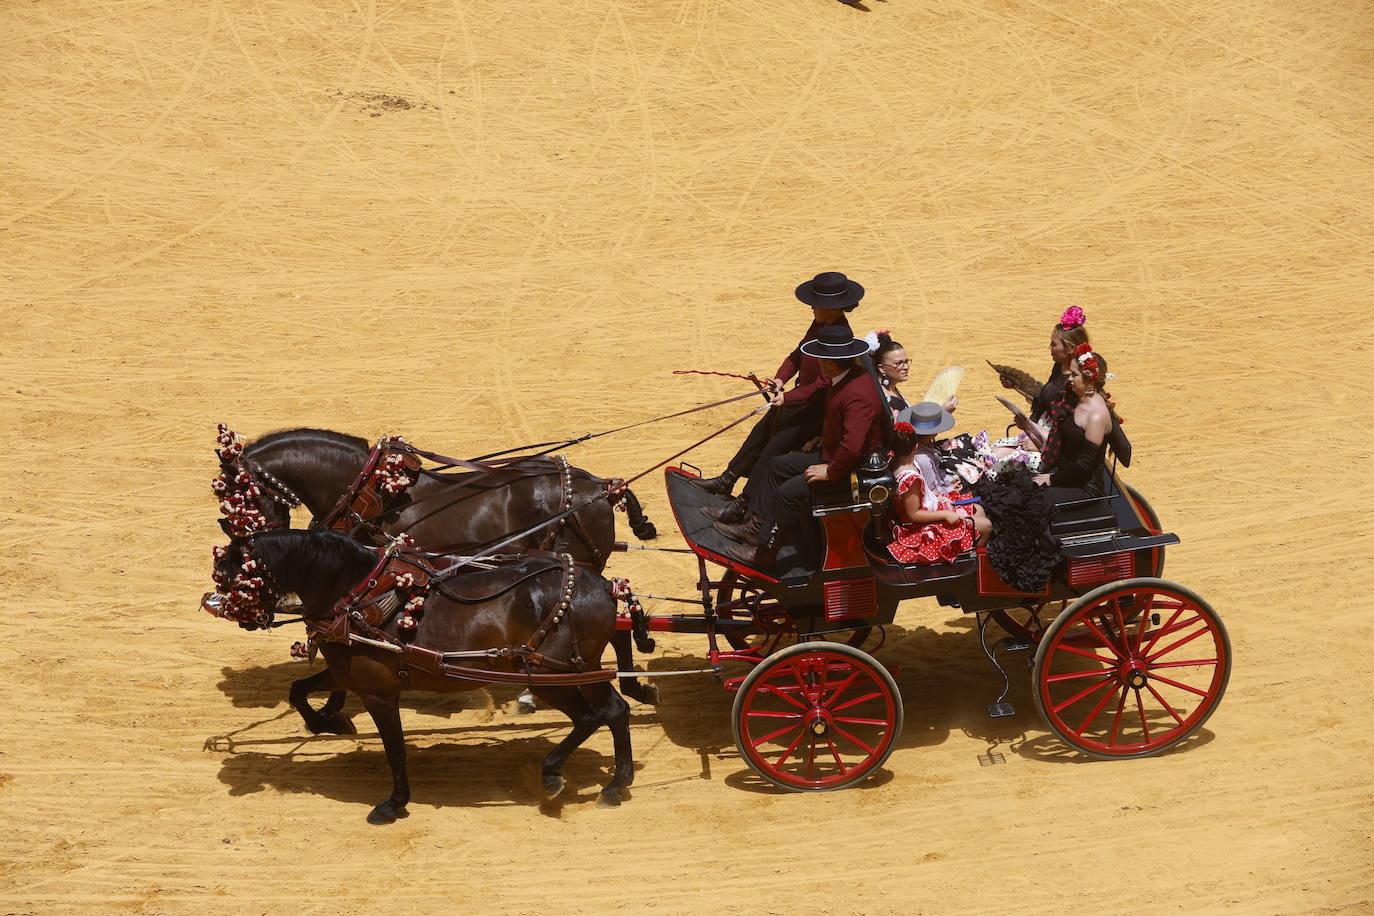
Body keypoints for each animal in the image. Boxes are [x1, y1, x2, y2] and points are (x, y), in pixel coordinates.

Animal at [212, 530, 632, 823]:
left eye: (232, 579)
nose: (222, 607)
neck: (358, 594)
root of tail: (603, 586)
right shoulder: (347, 674)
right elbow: (297, 690)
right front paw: (327, 723)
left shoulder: (379, 692)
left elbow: (395, 749)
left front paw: (393, 803)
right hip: (572, 673)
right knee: (612, 710)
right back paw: (606, 781)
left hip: (556, 674)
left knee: (598, 714)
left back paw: (569, 776)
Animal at [221, 425, 659, 725]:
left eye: (234, 496)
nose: (241, 543)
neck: (377, 493)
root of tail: (602, 487)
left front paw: (332, 707)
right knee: (615, 622)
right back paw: (632, 685)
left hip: (576, 568)